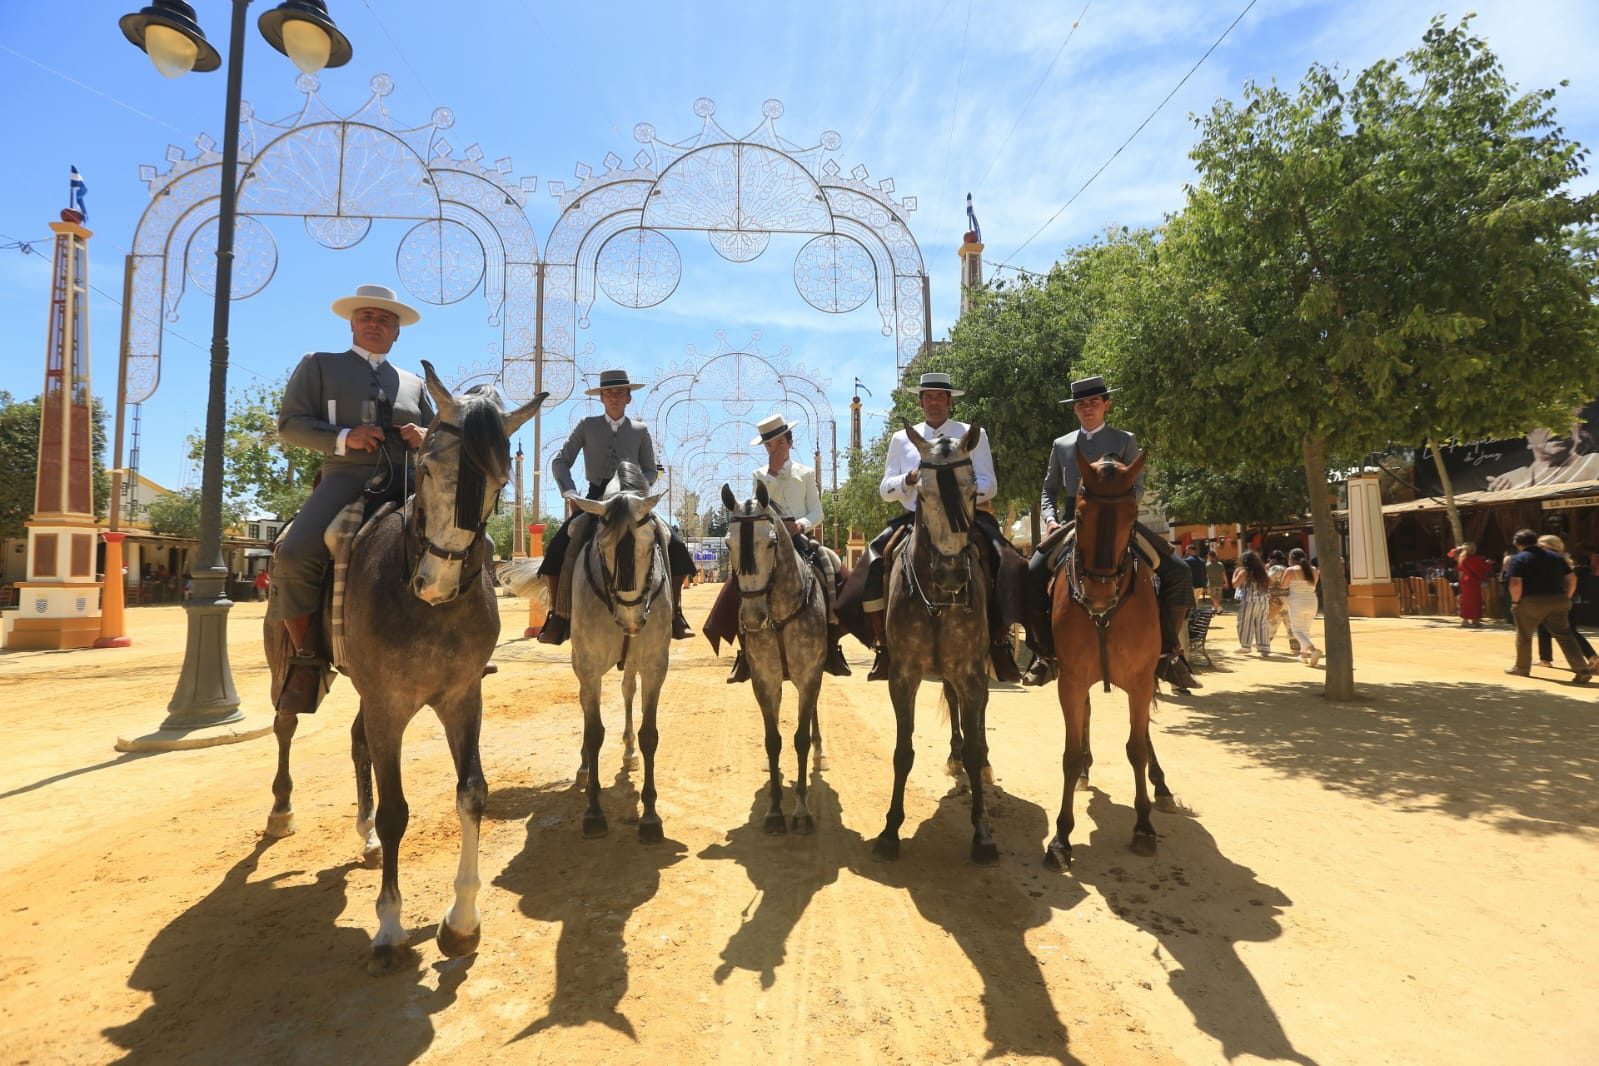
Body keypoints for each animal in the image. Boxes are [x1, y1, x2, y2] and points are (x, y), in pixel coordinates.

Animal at [265, 361, 546, 978]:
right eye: (431, 464)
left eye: (498, 482)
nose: (436, 582)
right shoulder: (389, 704)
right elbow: (398, 811)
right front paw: (390, 930)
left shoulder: (460, 697)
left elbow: (472, 793)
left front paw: (461, 923)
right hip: (291, 662)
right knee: (285, 725)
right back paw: (281, 809)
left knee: (356, 743)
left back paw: (365, 837)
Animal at [722, 479, 831, 837]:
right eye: (728, 544)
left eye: (771, 543)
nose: (753, 617)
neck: (781, 614)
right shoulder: (765, 680)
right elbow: (773, 741)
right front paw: (773, 812)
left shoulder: (810, 675)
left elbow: (799, 740)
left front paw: (802, 810)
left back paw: (819, 751)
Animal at [876, 418, 997, 869]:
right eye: (922, 492)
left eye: (973, 490)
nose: (951, 575)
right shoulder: (903, 676)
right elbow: (902, 751)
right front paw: (890, 830)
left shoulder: (973, 673)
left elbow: (977, 746)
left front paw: (982, 834)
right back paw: (954, 754)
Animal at [1048, 447, 1176, 869]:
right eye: (1079, 514)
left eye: (1133, 516)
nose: (1099, 595)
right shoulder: (1070, 680)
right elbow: (1070, 755)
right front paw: (1061, 838)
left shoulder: (1139, 680)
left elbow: (1136, 749)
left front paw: (1144, 827)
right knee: (1088, 715)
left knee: (1145, 734)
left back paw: (1162, 787)